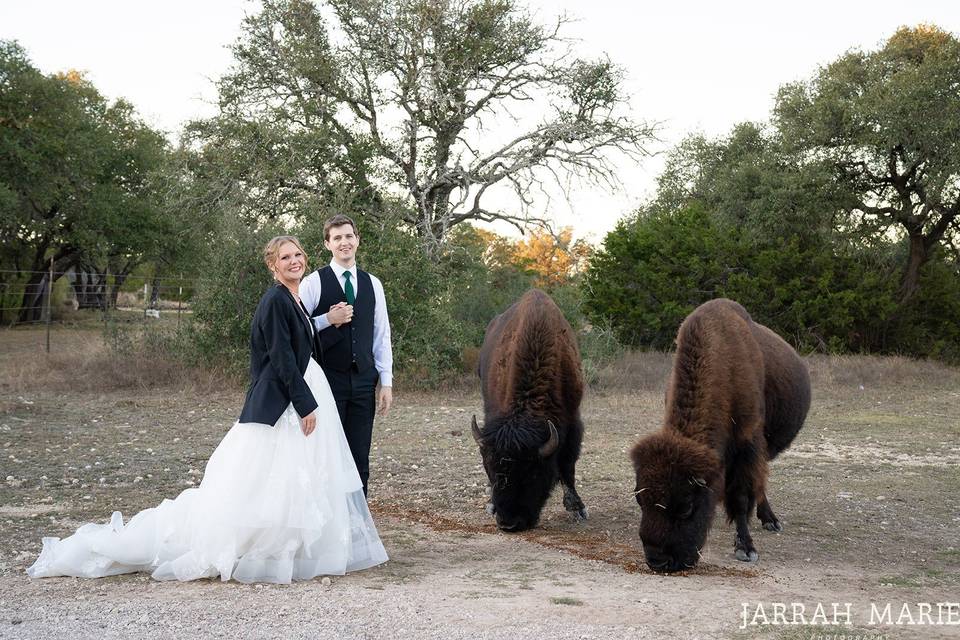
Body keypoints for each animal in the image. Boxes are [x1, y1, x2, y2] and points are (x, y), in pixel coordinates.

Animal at [472, 289, 588, 531]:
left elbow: (568, 464)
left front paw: (577, 508)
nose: (509, 523)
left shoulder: (573, 420)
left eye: (532, 473)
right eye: (489, 467)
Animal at [630, 298, 810, 571]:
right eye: (640, 500)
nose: (658, 561)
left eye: (686, 508)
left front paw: (746, 548)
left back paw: (770, 520)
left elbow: (742, 496)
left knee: (759, 484)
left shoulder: (748, 445)